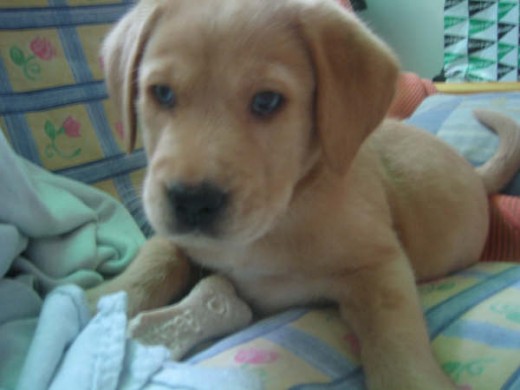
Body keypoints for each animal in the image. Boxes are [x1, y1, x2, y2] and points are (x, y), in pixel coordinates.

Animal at [91, 1, 520, 388]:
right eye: (161, 93)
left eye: (266, 101)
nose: (192, 201)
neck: (280, 216)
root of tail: (475, 174)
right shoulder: (176, 237)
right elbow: (151, 262)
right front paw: (100, 297)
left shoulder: (380, 265)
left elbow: (396, 339)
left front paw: (413, 380)